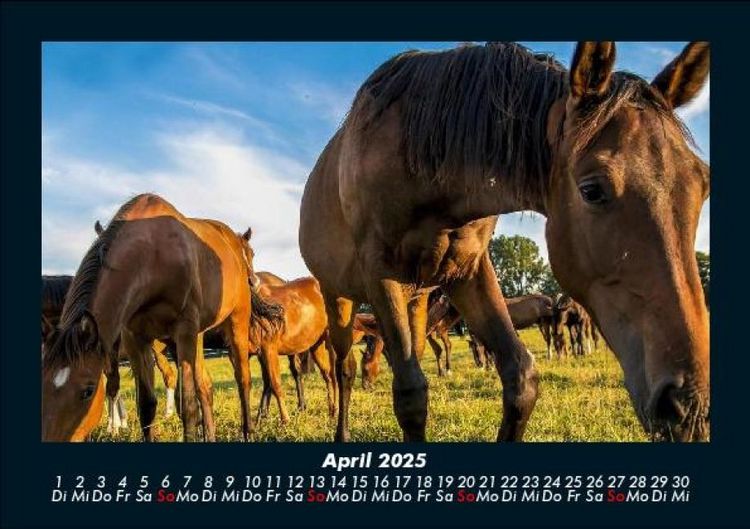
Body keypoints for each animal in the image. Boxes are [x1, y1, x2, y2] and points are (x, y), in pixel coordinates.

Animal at [42, 194, 258, 442]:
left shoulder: (184, 331)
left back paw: (248, 432)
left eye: (88, 391)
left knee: (242, 379)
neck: (153, 256)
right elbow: (146, 405)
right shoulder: (135, 338)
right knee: (205, 386)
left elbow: (188, 405)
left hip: (236, 322)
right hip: (195, 336)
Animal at [247, 276, 338, 423]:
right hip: (316, 345)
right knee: (327, 375)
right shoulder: (257, 354)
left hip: (330, 341)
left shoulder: (269, 349)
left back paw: (335, 410)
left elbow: (275, 383)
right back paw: (331, 410)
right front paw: (260, 418)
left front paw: (285, 420)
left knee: (334, 376)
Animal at [299, 41, 710, 442]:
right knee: (345, 367)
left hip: (415, 299)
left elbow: (520, 378)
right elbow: (410, 395)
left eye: (703, 184)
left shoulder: (468, 271)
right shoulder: (381, 274)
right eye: (592, 190)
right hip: (339, 298)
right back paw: (341, 432)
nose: (688, 405)